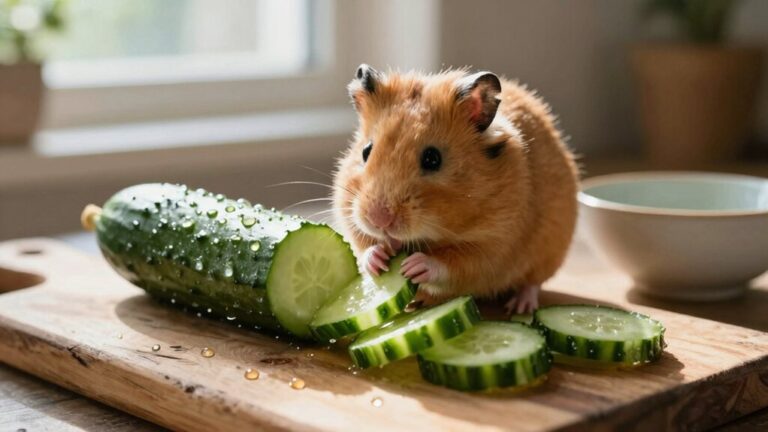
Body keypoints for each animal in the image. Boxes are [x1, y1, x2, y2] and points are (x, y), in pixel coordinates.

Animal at [333, 64, 579, 314]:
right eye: (366, 151)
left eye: (433, 159)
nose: (379, 220)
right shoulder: (349, 213)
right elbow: (363, 243)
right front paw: (378, 259)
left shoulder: (495, 245)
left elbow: (454, 264)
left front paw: (414, 266)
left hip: (550, 252)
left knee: (532, 283)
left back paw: (519, 307)